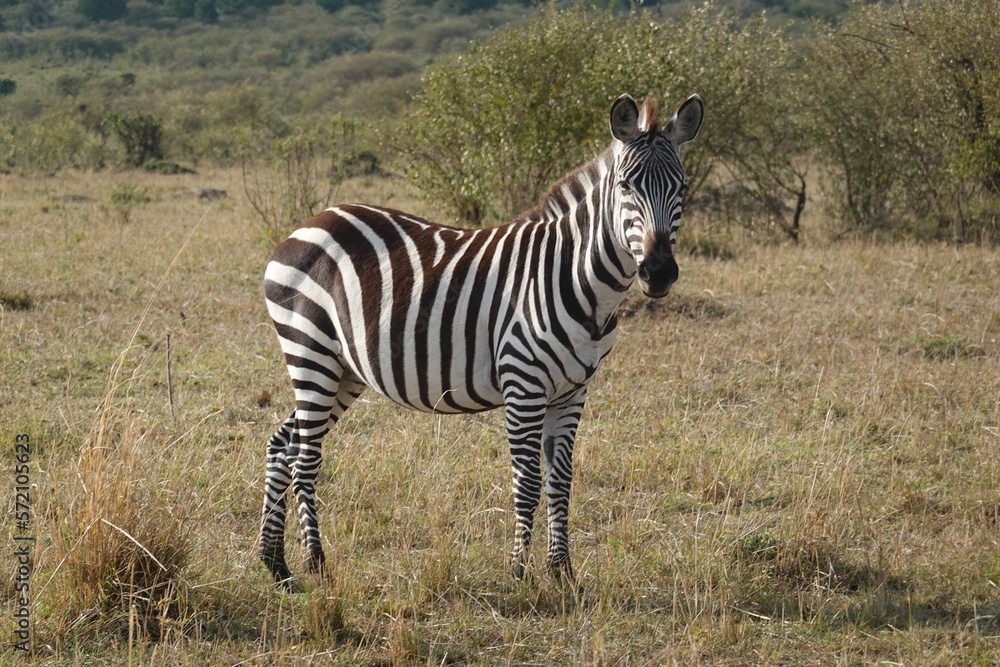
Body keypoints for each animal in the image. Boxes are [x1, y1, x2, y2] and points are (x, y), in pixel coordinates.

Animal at [259, 93, 703, 588]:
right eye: (626, 187)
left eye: (682, 188)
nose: (659, 273)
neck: (578, 279)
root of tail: (311, 221)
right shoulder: (523, 383)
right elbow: (527, 481)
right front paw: (519, 574)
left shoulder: (573, 391)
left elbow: (561, 481)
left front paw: (562, 572)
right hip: (310, 350)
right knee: (305, 458)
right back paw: (316, 563)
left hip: (343, 369)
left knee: (282, 445)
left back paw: (276, 565)